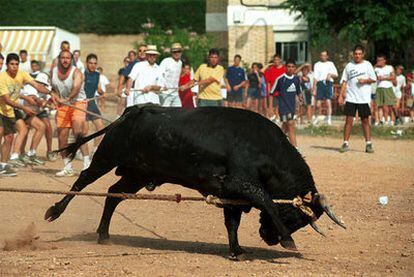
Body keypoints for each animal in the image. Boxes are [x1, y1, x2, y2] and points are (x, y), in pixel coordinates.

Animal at [43, 104, 344, 258]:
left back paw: (104, 234)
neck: (266, 151)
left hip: (138, 174)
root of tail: (133, 110)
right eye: (296, 217)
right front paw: (288, 241)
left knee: (114, 194)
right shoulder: (240, 185)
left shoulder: (231, 196)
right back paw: (54, 211)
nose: (268, 238)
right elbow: (267, 202)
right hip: (107, 155)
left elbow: (232, 222)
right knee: (83, 180)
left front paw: (237, 250)